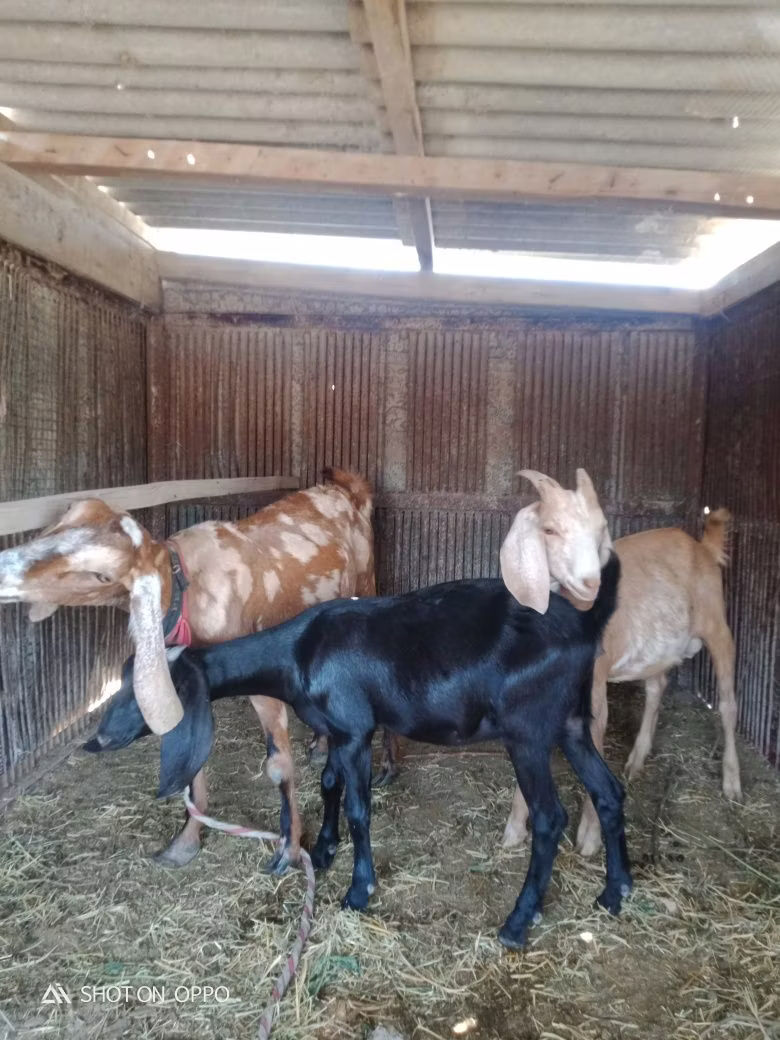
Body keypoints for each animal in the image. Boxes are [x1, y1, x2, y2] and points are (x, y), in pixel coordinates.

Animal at [0, 469, 375, 873]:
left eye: (101, 575)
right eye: (64, 519)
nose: (5, 569)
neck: (188, 590)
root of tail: (345, 485)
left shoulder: (260, 674)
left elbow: (278, 765)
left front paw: (289, 849)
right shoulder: (195, 680)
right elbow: (194, 760)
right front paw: (185, 842)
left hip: (367, 579)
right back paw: (321, 744)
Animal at [502, 508, 741, 857]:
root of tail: (702, 546)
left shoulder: (594, 693)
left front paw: (589, 838)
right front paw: (515, 829)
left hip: (718, 628)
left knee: (727, 704)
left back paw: (732, 782)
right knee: (656, 688)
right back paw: (637, 759)